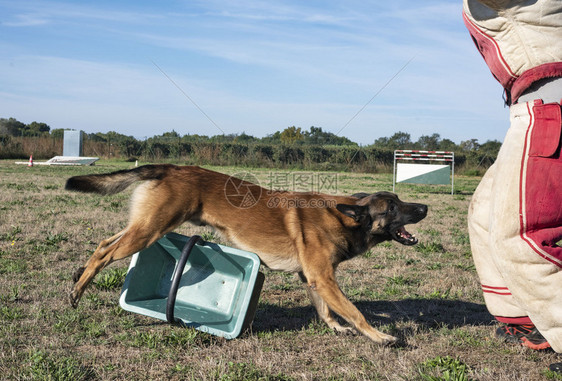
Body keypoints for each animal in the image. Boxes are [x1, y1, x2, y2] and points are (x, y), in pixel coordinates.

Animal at [65, 164, 424, 344]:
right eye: (392, 207)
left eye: (400, 201)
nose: (424, 207)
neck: (344, 217)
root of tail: (170, 167)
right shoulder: (323, 278)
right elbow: (354, 311)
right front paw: (379, 336)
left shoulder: (312, 278)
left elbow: (327, 310)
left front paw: (337, 329)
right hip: (149, 230)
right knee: (104, 255)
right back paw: (76, 292)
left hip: (143, 227)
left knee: (103, 244)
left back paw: (77, 276)